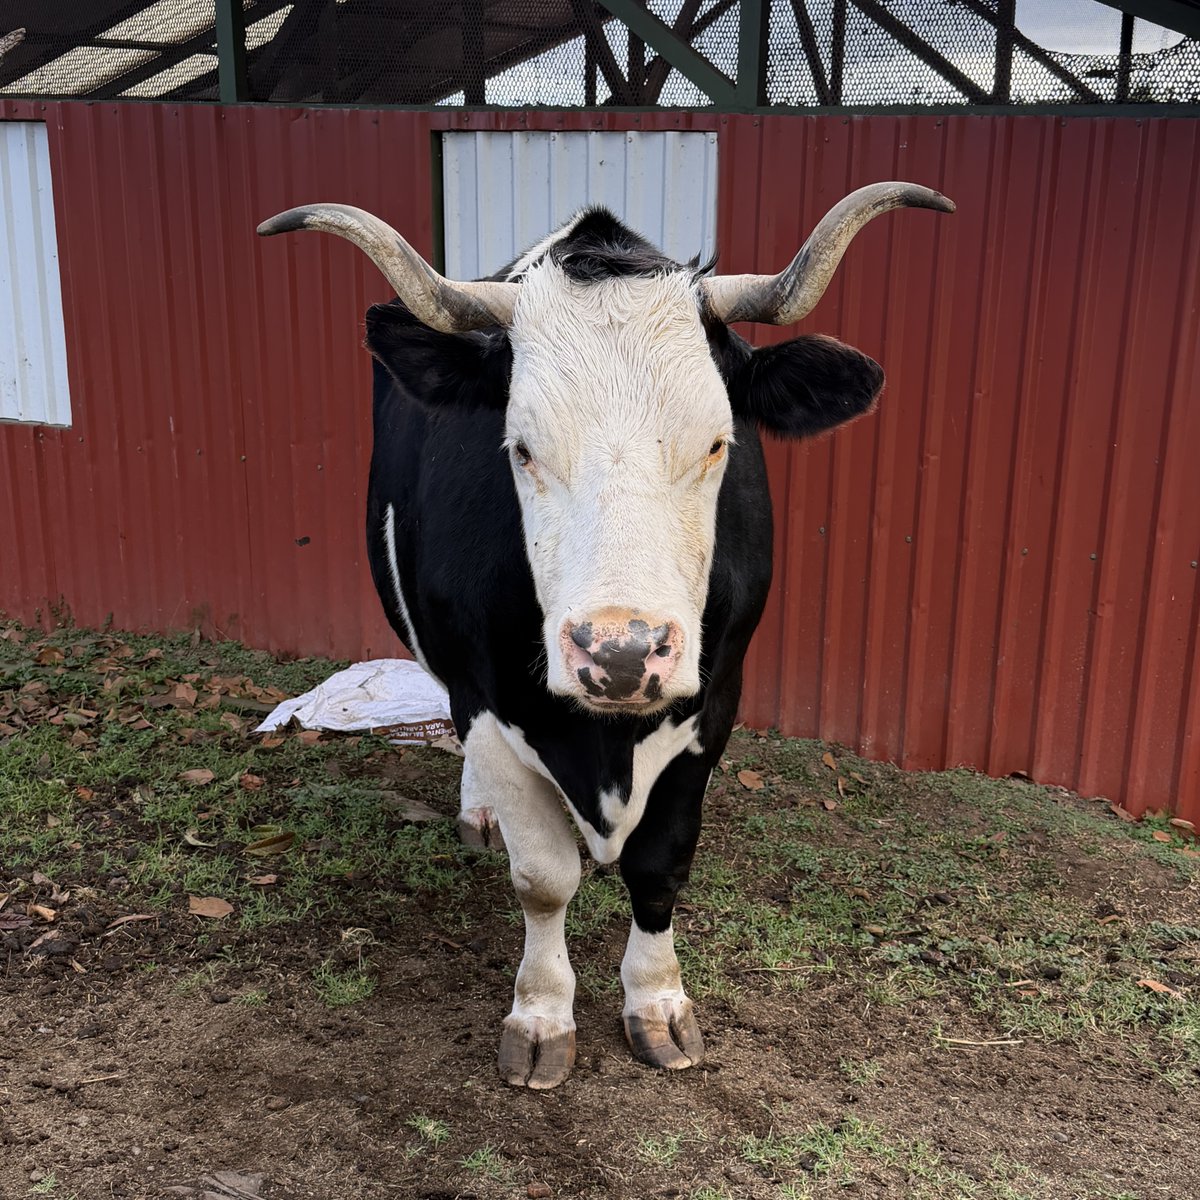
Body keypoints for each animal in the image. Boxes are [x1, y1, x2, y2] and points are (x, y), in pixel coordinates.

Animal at [257, 183, 953, 1088]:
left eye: (719, 442)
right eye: (519, 447)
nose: (620, 652)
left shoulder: (714, 703)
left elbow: (661, 867)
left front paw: (657, 1003)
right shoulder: (488, 702)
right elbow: (543, 878)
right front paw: (542, 1015)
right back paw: (480, 815)